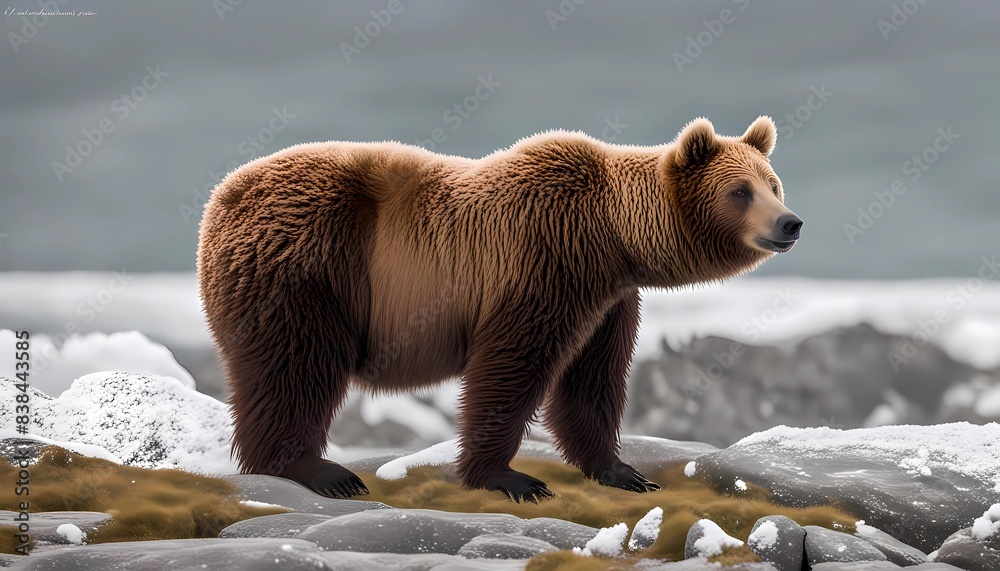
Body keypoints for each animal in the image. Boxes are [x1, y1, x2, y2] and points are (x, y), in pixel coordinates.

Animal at [197, 116, 802, 502]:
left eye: (773, 184)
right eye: (740, 191)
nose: (790, 223)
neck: (608, 238)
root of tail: (221, 197)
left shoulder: (607, 301)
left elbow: (593, 379)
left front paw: (622, 470)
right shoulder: (539, 265)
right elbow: (510, 370)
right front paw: (513, 478)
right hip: (307, 271)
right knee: (294, 368)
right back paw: (321, 472)